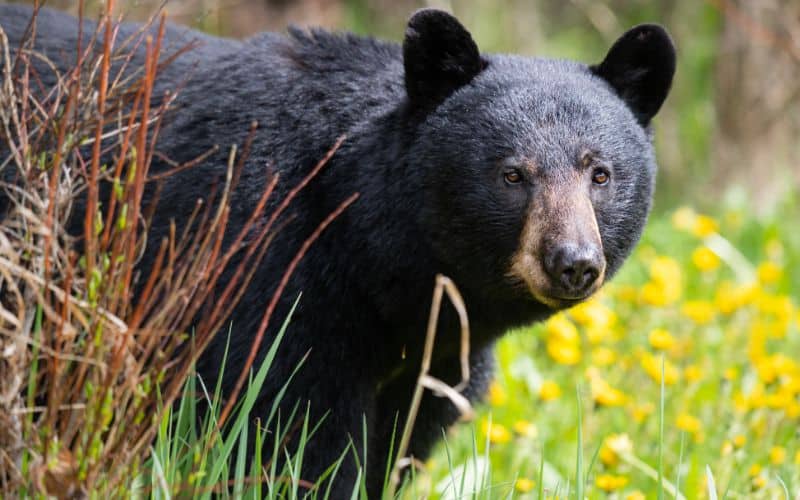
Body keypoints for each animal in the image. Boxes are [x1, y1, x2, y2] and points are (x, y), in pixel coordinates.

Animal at [0, 5, 676, 498]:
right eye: (512, 174)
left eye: (600, 173)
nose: (573, 262)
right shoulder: (267, 275)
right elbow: (291, 433)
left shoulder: (435, 356)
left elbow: (397, 444)